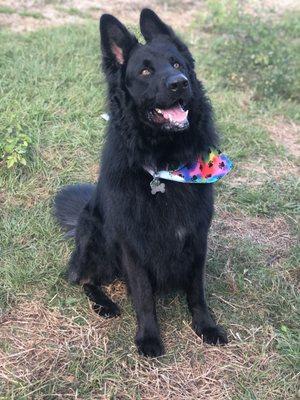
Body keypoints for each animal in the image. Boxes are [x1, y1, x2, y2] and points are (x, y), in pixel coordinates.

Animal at [54, 8, 227, 356]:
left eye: (177, 64)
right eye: (145, 71)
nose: (179, 83)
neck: (164, 164)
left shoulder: (196, 236)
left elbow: (197, 291)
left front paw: (205, 326)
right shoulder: (133, 245)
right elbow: (144, 296)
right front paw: (149, 337)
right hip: (96, 241)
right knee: (82, 279)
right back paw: (104, 304)